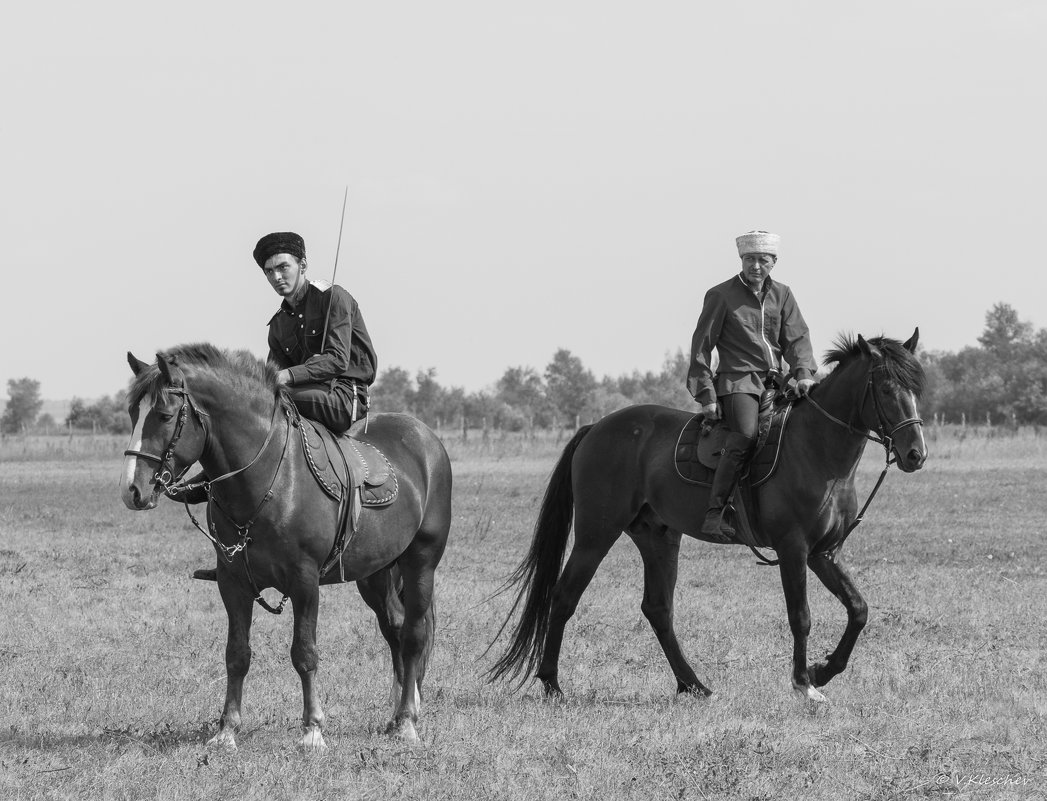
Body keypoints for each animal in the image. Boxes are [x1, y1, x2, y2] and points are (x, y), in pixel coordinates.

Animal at [120, 345, 452, 749]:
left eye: (165, 415)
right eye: (133, 413)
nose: (133, 491)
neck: (267, 479)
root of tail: (426, 440)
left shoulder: (304, 582)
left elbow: (304, 653)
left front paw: (312, 730)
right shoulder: (232, 583)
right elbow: (237, 653)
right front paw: (227, 730)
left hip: (420, 563)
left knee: (414, 635)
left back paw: (406, 721)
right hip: (375, 574)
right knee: (396, 629)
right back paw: (398, 713)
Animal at [487, 328, 925, 699]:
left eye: (917, 387)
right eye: (887, 388)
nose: (915, 454)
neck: (817, 449)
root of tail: (596, 428)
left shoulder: (824, 553)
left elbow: (858, 610)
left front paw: (822, 671)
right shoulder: (793, 549)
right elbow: (800, 615)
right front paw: (804, 684)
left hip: (658, 538)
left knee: (658, 609)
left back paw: (693, 684)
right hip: (596, 535)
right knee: (564, 596)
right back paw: (552, 685)